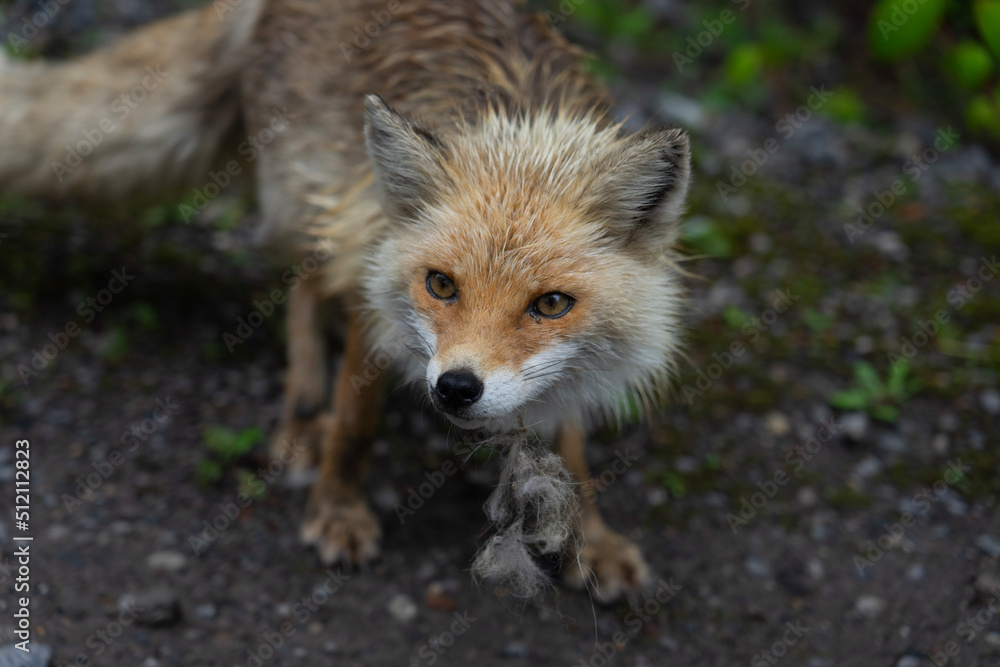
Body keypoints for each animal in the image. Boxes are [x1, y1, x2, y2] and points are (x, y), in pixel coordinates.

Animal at [0, 0, 691, 601]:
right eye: (442, 285)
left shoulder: (568, 370)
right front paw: (337, 508)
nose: (456, 389)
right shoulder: (370, 275)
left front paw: (592, 543)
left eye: (550, 305)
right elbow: (356, 421)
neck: (520, 130)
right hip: (312, 197)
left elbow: (573, 460)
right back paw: (304, 419)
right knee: (304, 288)